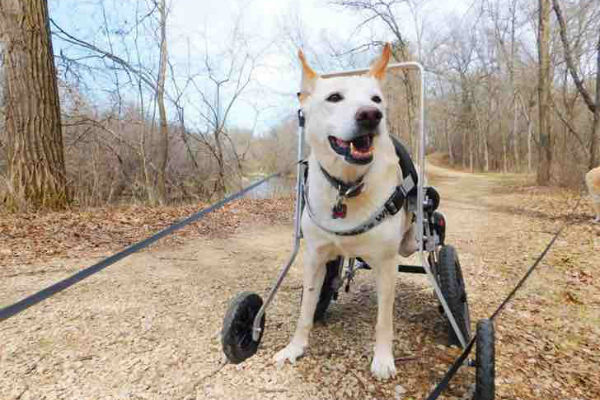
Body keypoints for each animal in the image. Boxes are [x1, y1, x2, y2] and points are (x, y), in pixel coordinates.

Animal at [274, 45, 414, 380]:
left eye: (376, 99)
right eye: (335, 97)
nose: (371, 115)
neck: (347, 186)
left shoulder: (386, 265)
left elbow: (384, 321)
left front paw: (383, 358)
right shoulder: (314, 258)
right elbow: (305, 310)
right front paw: (295, 347)